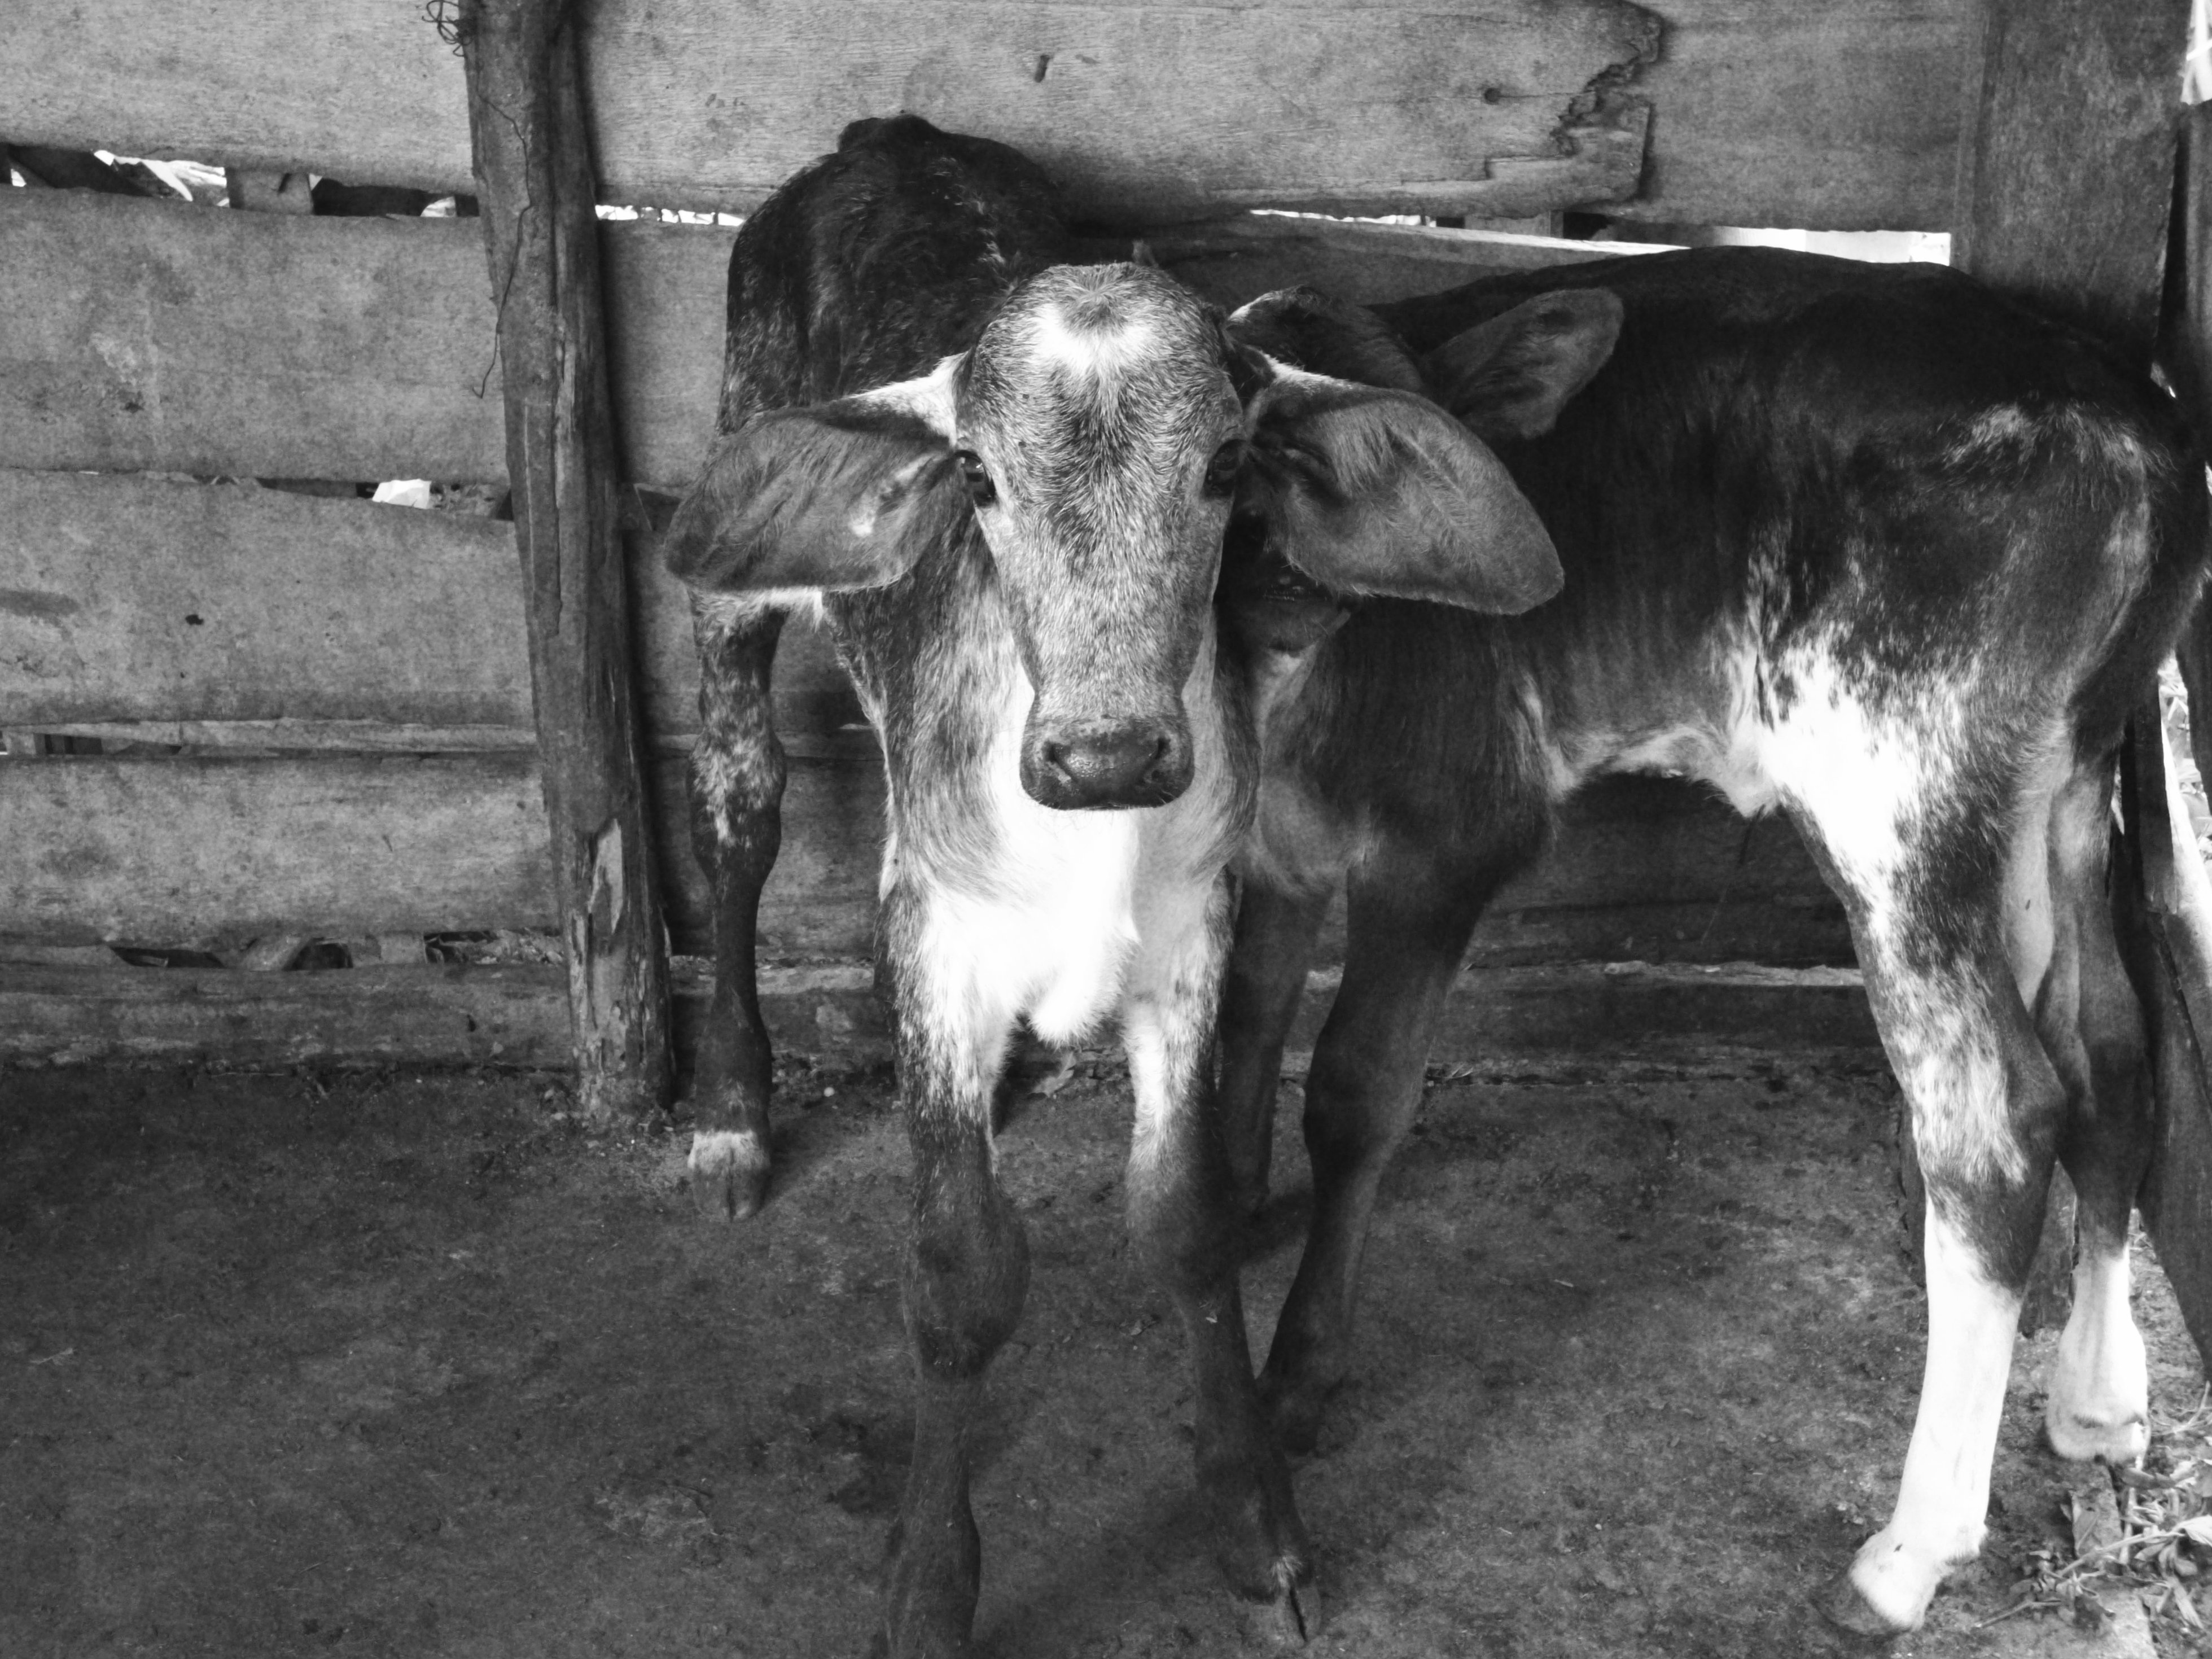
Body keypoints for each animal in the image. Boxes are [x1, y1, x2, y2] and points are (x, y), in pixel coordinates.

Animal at [662, 114, 1582, 1656]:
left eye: (1225, 467)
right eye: (976, 480)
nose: (1105, 750)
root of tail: (888, 135)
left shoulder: (1190, 940)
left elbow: (1188, 1221)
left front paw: (1255, 1522)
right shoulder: (944, 941)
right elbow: (959, 1267)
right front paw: (930, 1576)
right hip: (730, 608)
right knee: (739, 811)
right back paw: (731, 1114)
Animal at [1210, 251, 2209, 1635]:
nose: (1302, 590)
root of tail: (2143, 429)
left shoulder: (1448, 837)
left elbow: (1353, 1089)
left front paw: (1300, 1375)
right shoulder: (1274, 848)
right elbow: (1251, 1016)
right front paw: (1231, 1197)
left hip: (1894, 782)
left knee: (1995, 1118)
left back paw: (1907, 1552)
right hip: (2060, 774)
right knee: (2107, 1044)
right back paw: (2097, 1399)